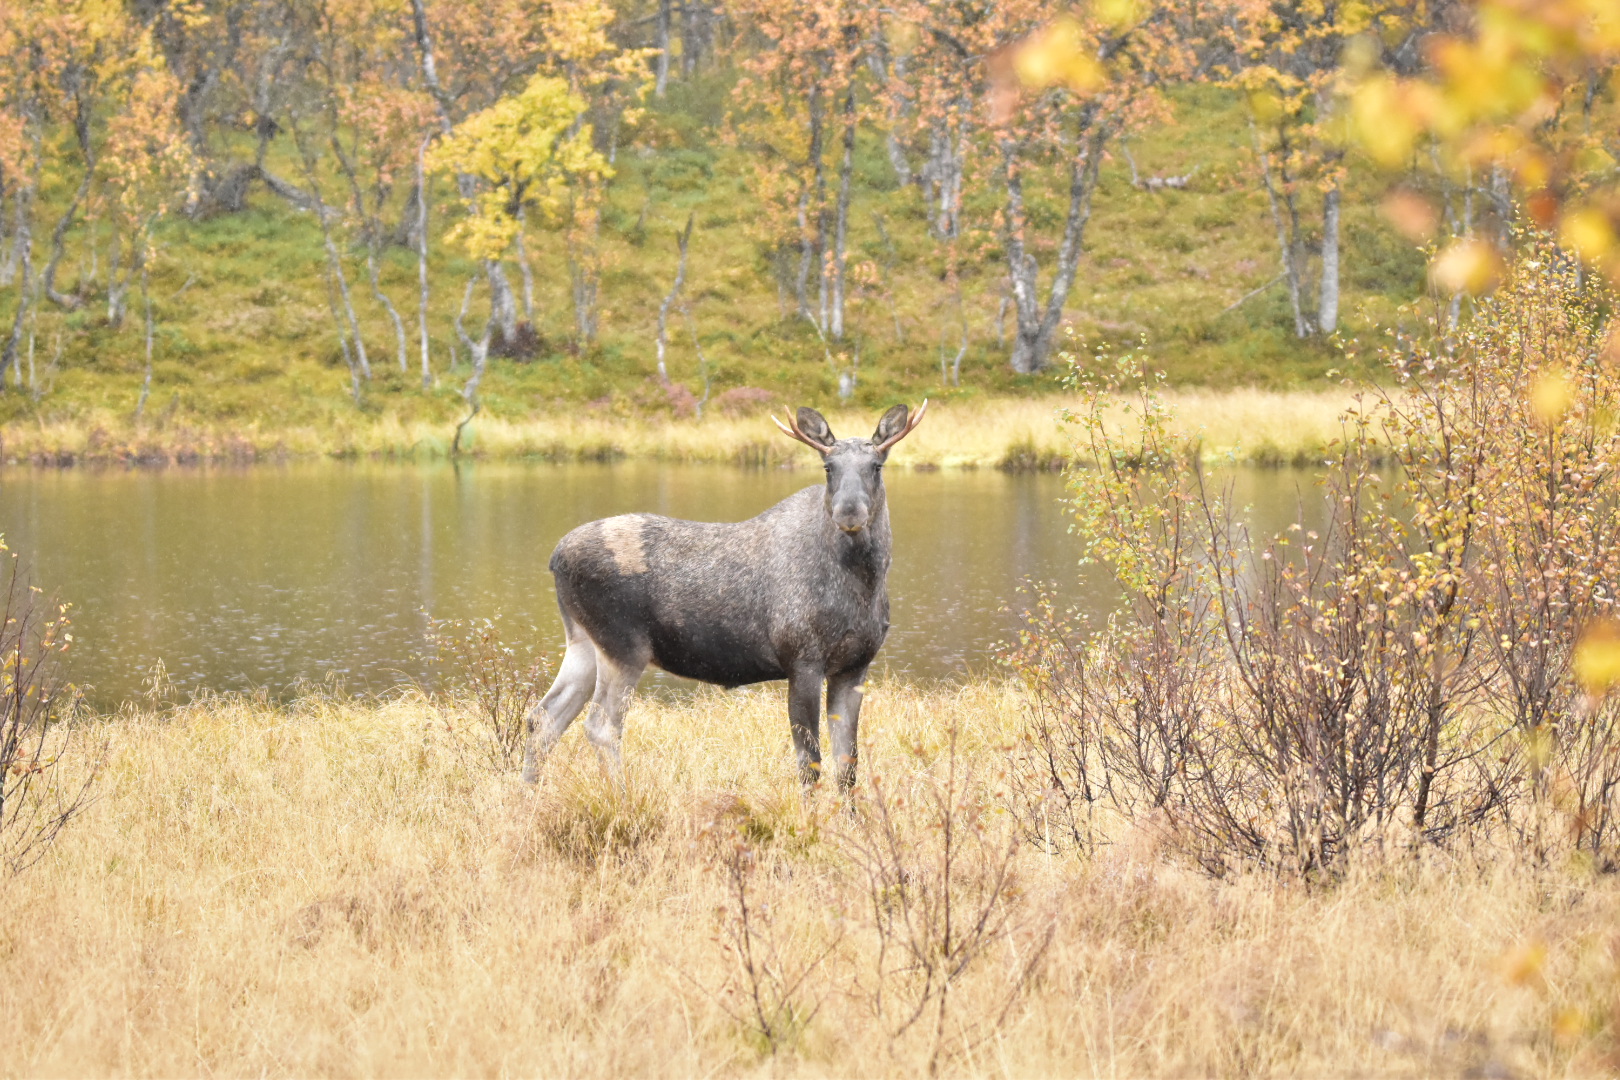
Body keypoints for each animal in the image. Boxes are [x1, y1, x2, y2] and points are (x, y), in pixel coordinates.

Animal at [518, 401, 926, 790]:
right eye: (828, 467)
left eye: (876, 465)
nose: (849, 512)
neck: (862, 585)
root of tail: (556, 558)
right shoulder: (802, 660)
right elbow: (809, 762)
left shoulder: (854, 666)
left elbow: (848, 766)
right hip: (623, 646)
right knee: (601, 727)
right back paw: (620, 796)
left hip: (583, 641)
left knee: (543, 717)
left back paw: (529, 794)